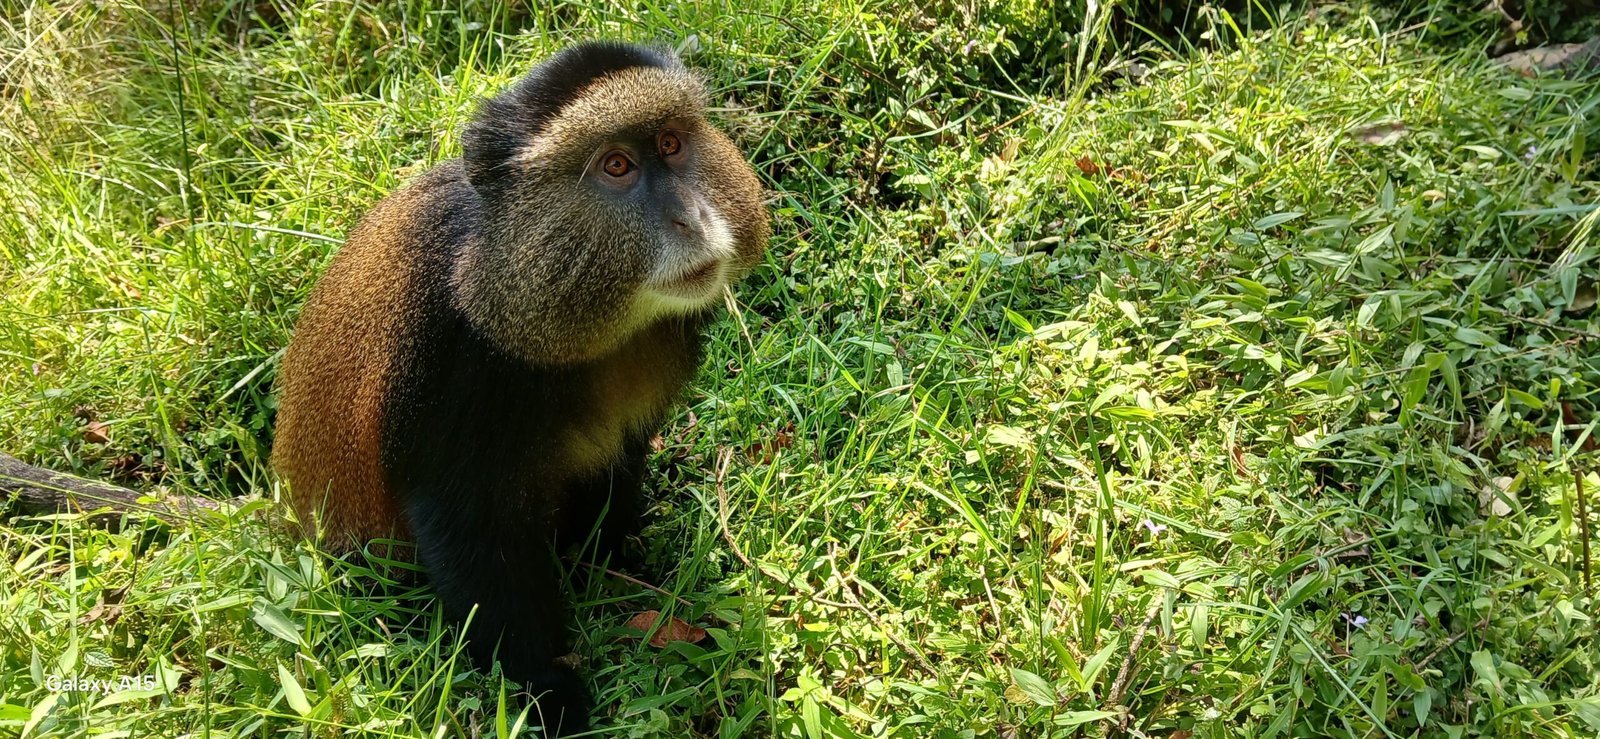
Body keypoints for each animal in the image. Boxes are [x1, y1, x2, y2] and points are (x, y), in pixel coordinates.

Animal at [270, 41, 769, 735]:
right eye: (617, 166)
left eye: (671, 144)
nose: (691, 218)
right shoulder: (453, 358)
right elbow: (470, 532)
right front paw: (548, 692)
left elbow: (618, 462)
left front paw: (614, 561)